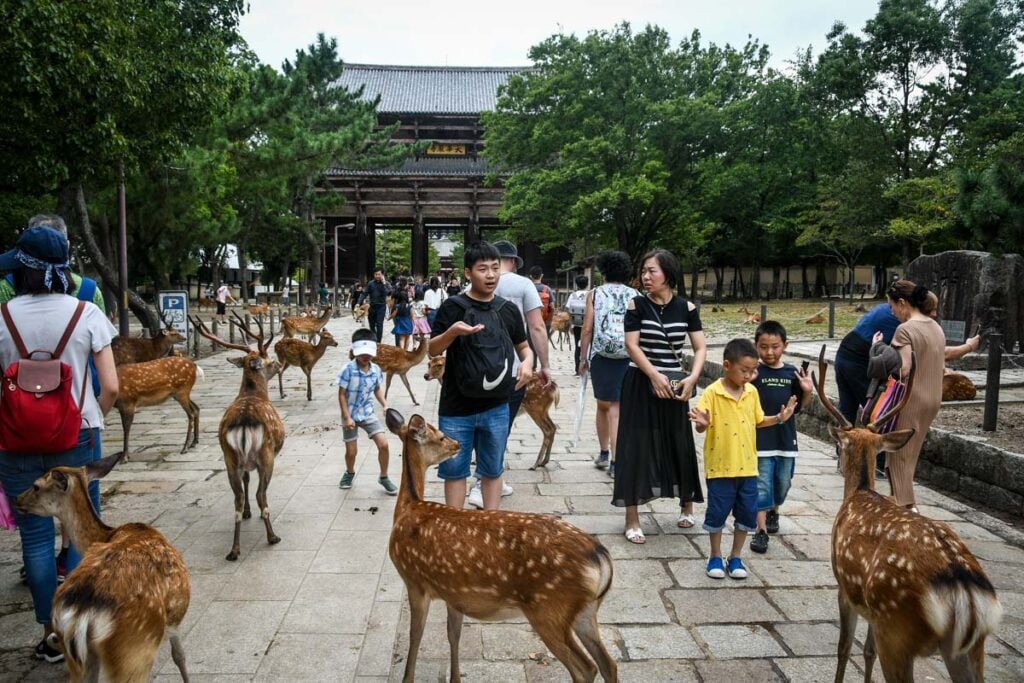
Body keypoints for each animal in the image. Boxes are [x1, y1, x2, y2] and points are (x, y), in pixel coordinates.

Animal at [15, 454, 192, 683]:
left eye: (36, 485)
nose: (17, 499)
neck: (107, 534)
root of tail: (82, 611)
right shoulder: (174, 619)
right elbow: (179, 656)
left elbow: (179, 655)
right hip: (135, 650)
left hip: (78, 659)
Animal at [190, 313, 286, 557]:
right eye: (268, 360)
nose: (279, 364)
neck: (252, 393)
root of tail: (243, 423)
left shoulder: (242, 463)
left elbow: (246, 479)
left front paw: (248, 513)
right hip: (266, 454)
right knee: (261, 494)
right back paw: (272, 536)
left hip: (229, 457)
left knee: (237, 497)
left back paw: (234, 549)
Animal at [385, 411, 614, 683]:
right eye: (440, 436)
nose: (458, 444)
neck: (407, 509)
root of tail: (601, 558)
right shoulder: (451, 590)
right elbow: (453, 634)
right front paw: (455, 678)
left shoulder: (415, 580)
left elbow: (415, 635)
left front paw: (407, 678)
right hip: (585, 611)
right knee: (608, 664)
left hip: (550, 610)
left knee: (585, 667)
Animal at [421, 358, 561, 471]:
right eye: (428, 363)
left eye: (439, 365)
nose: (426, 375)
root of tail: (553, 387)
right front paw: (475, 461)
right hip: (543, 409)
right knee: (553, 427)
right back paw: (544, 462)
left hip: (535, 407)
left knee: (547, 430)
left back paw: (535, 464)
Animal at [811, 350, 1003, 679]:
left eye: (840, 445)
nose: (838, 460)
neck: (859, 492)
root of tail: (963, 588)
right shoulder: (871, 611)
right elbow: (867, 651)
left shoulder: (844, 586)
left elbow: (844, 648)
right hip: (970, 649)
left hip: (897, 626)